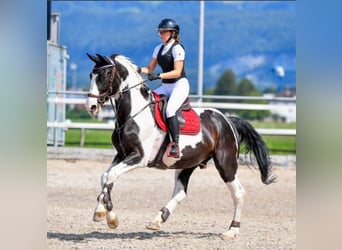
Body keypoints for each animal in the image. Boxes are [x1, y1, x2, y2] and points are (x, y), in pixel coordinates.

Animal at [85, 52, 276, 238]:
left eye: (105, 75)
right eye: (91, 75)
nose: (91, 106)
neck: (133, 114)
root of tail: (227, 120)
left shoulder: (139, 157)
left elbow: (111, 175)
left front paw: (109, 217)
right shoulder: (122, 154)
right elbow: (106, 176)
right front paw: (101, 211)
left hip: (225, 163)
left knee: (238, 192)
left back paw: (232, 230)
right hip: (187, 163)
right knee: (181, 191)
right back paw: (158, 219)